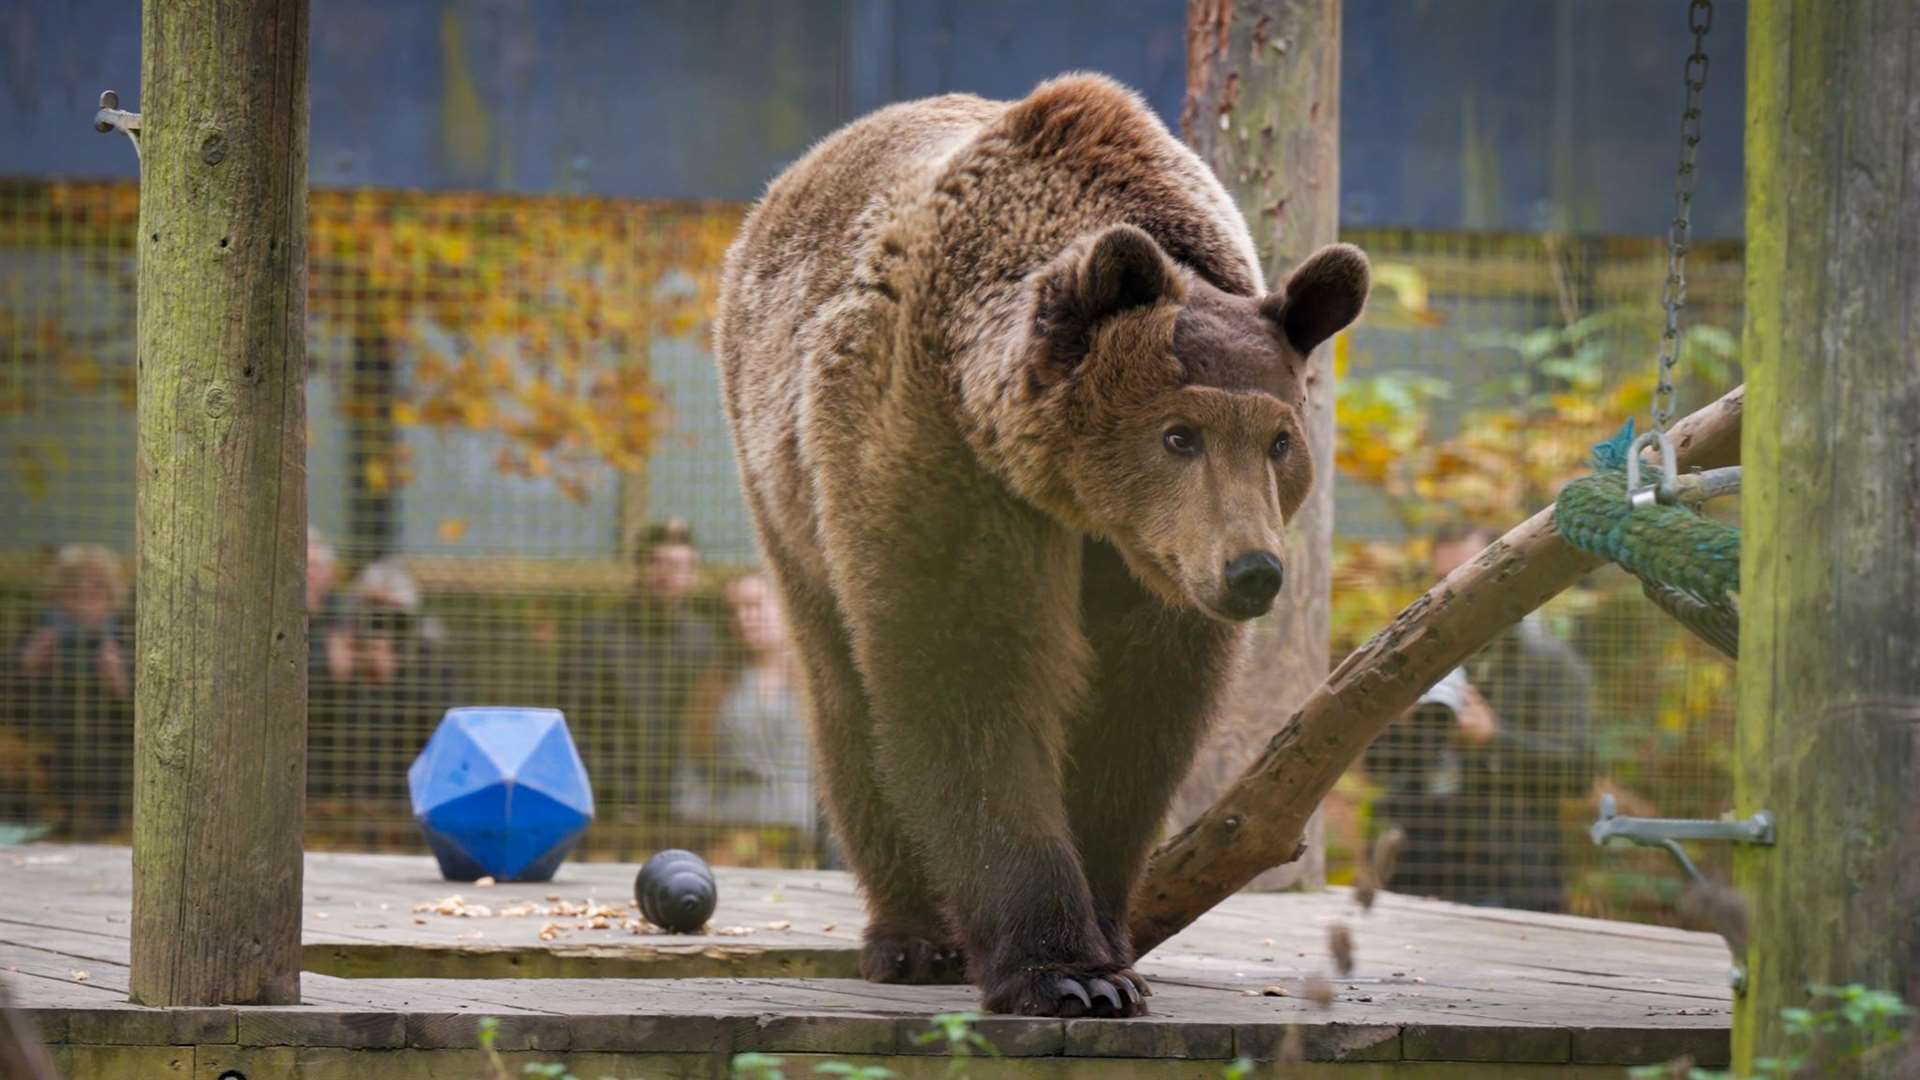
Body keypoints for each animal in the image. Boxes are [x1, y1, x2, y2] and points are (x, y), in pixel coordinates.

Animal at [718, 71, 1367, 1014]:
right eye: (1178, 434)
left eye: (1280, 440)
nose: (1253, 571)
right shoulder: (940, 462)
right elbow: (969, 680)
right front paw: (1062, 970)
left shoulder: (1150, 572)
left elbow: (1135, 723)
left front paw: (1110, 942)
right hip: (786, 492)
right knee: (846, 696)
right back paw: (910, 935)